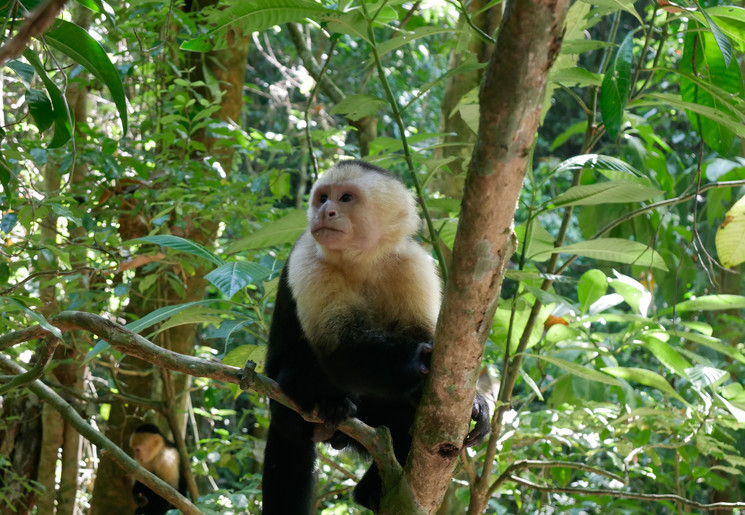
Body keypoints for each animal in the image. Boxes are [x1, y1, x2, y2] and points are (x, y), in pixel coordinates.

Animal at [262, 160, 490, 514]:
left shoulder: (412, 263)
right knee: (301, 371)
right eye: (322, 198)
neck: (362, 261)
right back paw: (328, 409)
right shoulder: (309, 257)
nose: (325, 211)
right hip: (281, 402)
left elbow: (423, 335)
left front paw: (477, 401)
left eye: (345, 198)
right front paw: (418, 360)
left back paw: (369, 490)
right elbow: (339, 351)